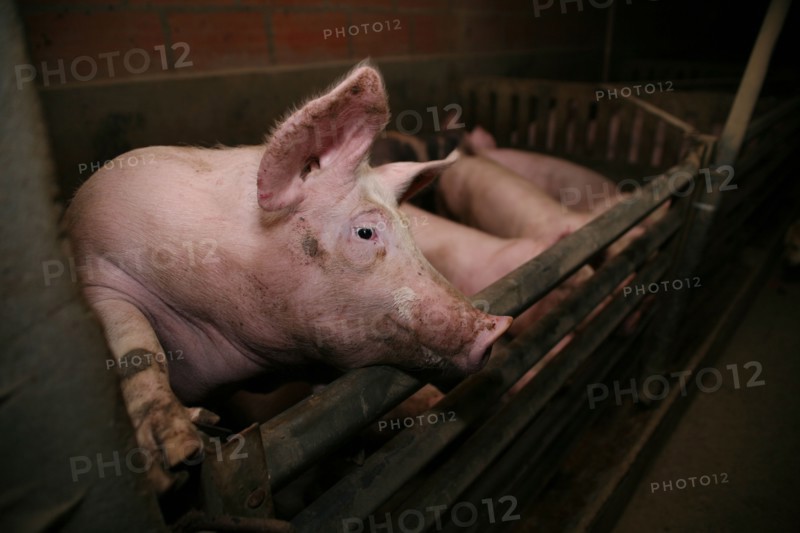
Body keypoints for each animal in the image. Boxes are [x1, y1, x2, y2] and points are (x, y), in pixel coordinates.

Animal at [65, 61, 512, 492]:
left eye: (409, 226)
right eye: (366, 232)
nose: (497, 326)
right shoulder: (100, 274)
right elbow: (137, 346)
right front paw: (181, 454)